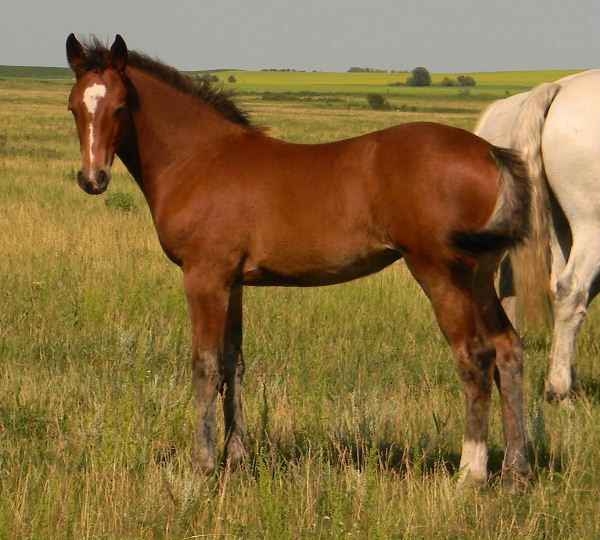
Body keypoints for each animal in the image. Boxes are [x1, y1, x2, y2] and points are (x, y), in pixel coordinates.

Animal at [65, 34, 532, 487]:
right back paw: (516, 471)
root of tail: (490, 152)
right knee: (508, 349)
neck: (201, 159)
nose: (92, 179)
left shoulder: (204, 276)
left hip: (441, 273)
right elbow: (234, 362)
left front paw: (202, 466)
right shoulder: (233, 282)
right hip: (480, 276)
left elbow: (206, 364)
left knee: (474, 356)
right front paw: (237, 461)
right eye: (73, 107)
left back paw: (471, 474)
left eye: (120, 107)